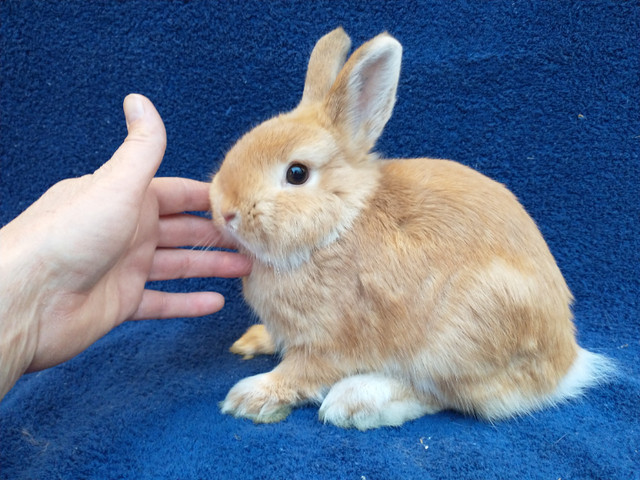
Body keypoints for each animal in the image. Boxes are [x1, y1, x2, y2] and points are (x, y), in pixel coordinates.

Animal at [208, 27, 612, 432]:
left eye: (297, 173)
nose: (225, 210)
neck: (337, 227)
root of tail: (566, 365)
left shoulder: (328, 343)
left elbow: (299, 373)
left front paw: (250, 397)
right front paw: (253, 341)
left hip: (457, 340)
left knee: (445, 396)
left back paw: (357, 401)